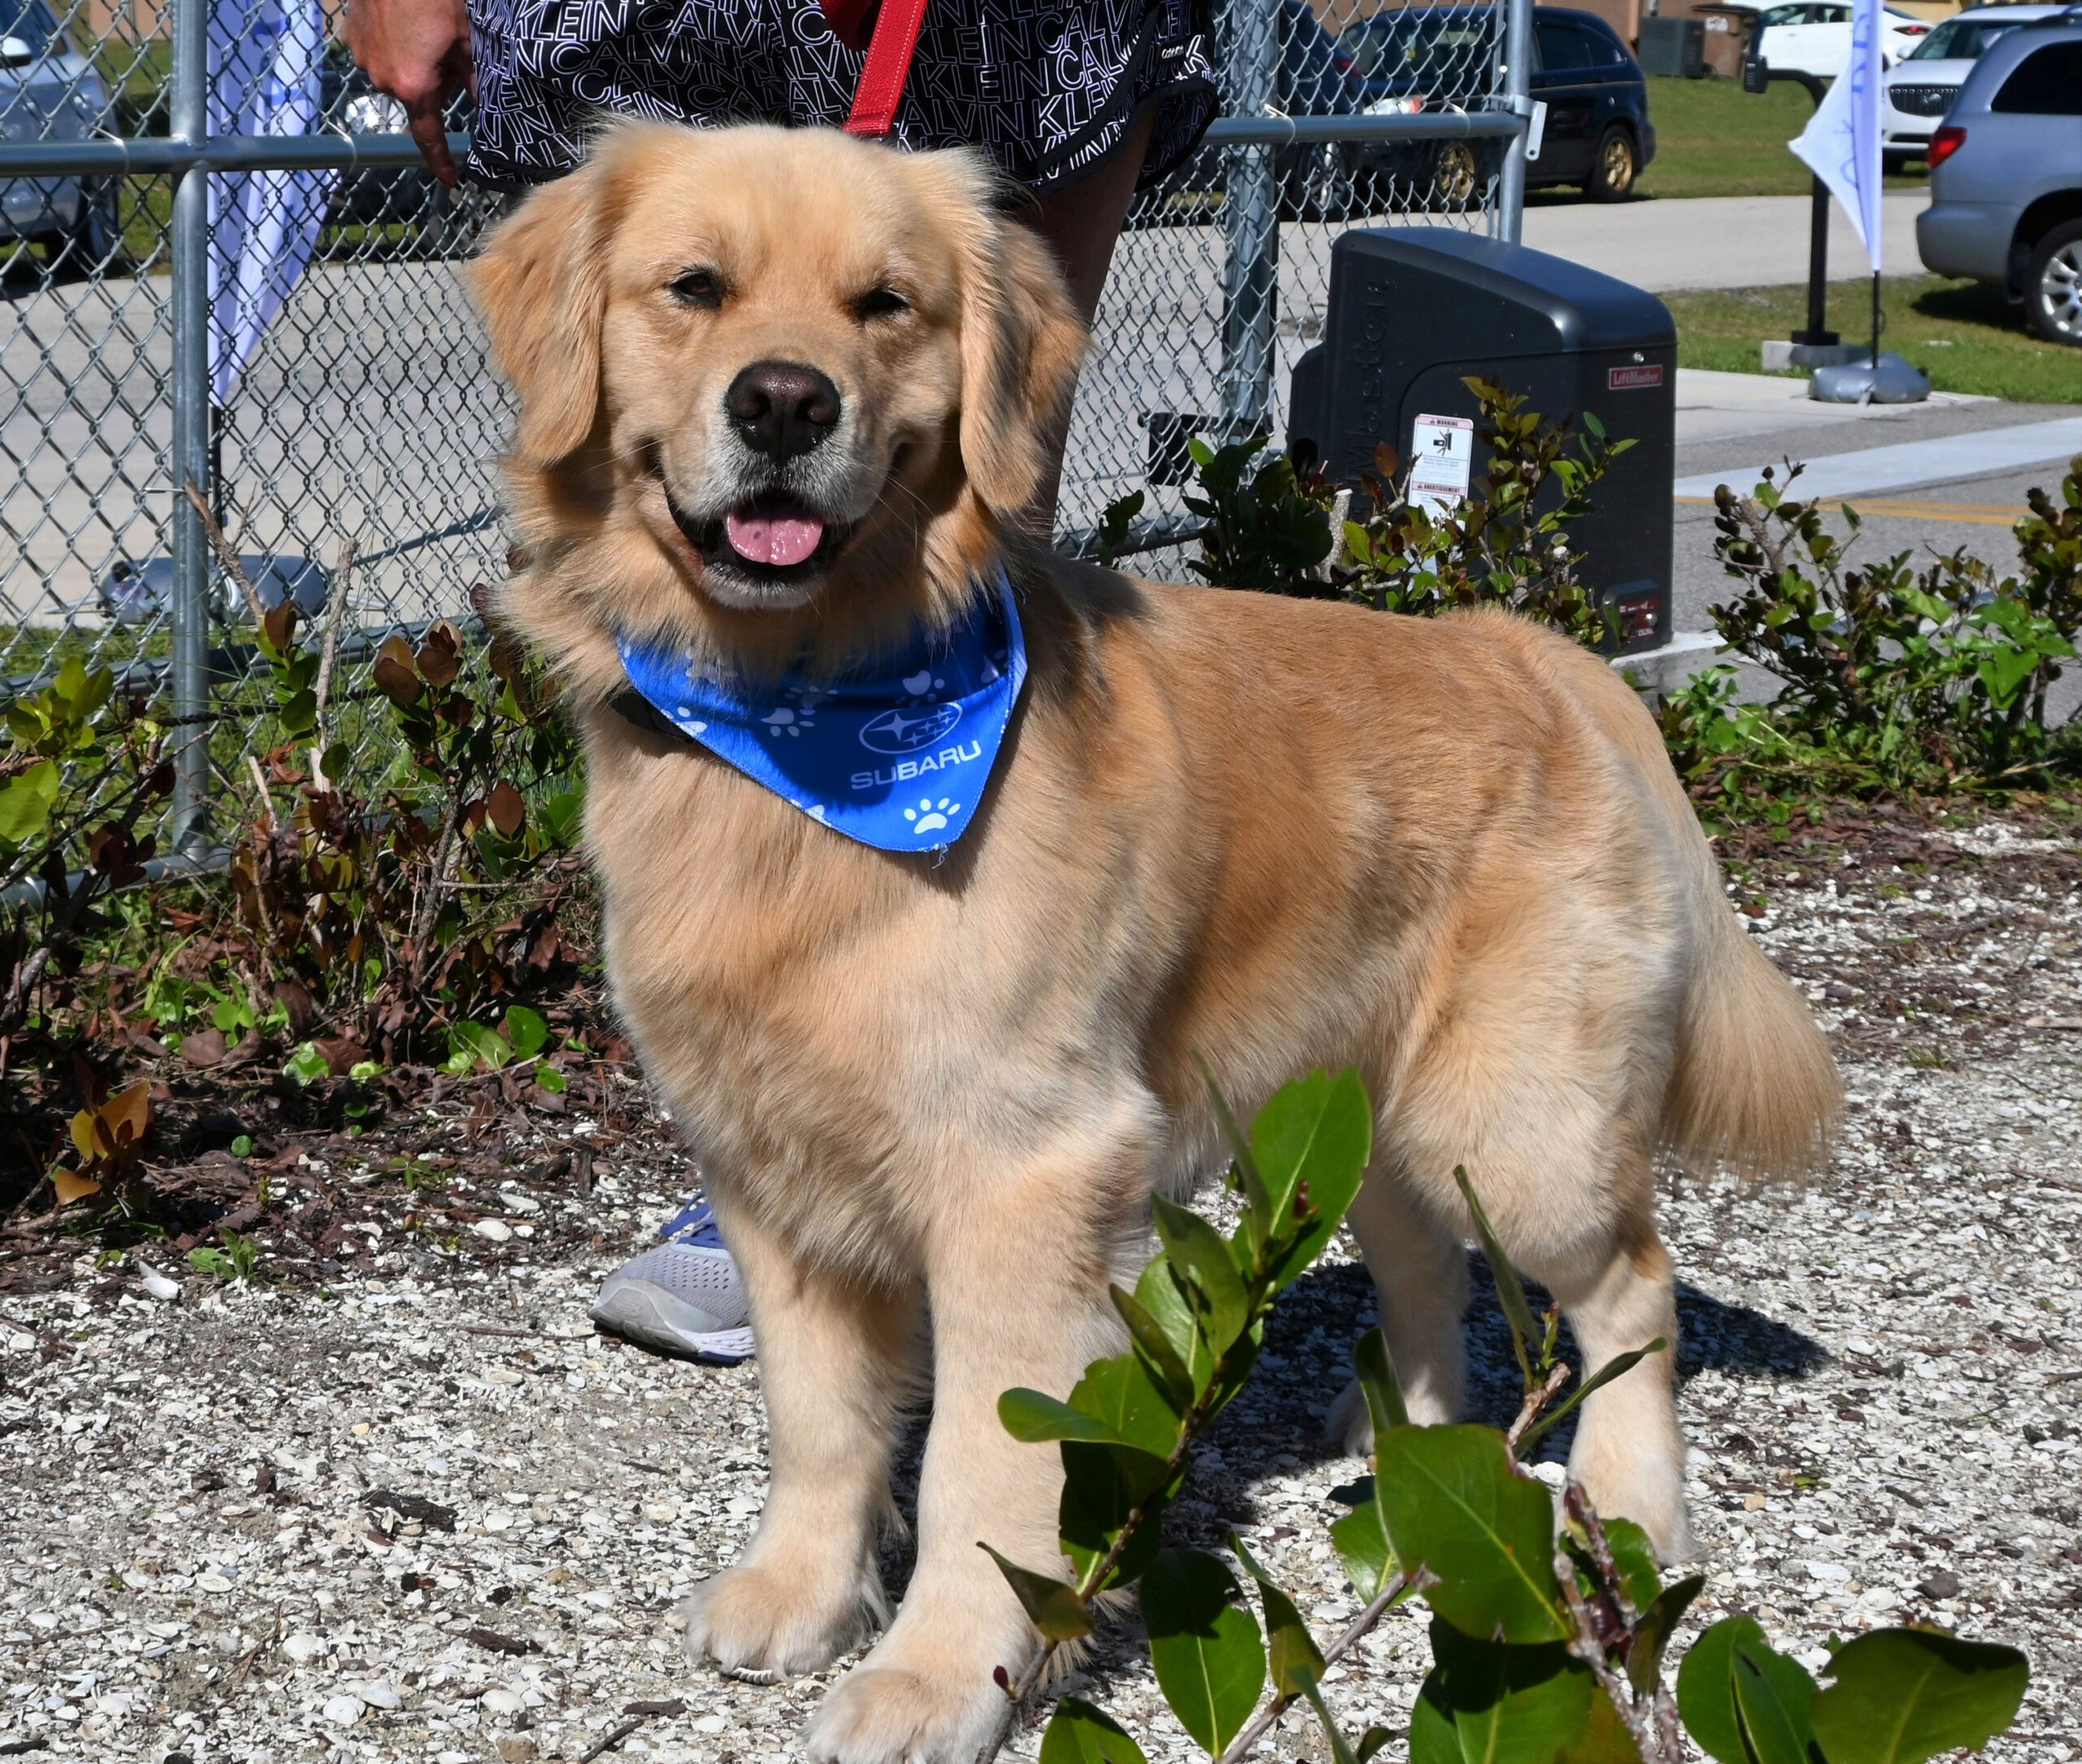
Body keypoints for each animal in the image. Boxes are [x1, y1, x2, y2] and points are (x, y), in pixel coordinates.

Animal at [473, 120, 1840, 1764]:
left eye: (885, 305)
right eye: (694, 288)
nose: (786, 401)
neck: (803, 729)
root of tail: (1530, 646)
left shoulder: (1028, 1169)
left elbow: (980, 1464)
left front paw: (945, 1675)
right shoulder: (767, 1168)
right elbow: (817, 1413)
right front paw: (802, 1590)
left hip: (1522, 1129)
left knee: (1631, 1287)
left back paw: (1628, 1503)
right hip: (1357, 1126)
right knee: (1427, 1266)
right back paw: (1411, 1451)